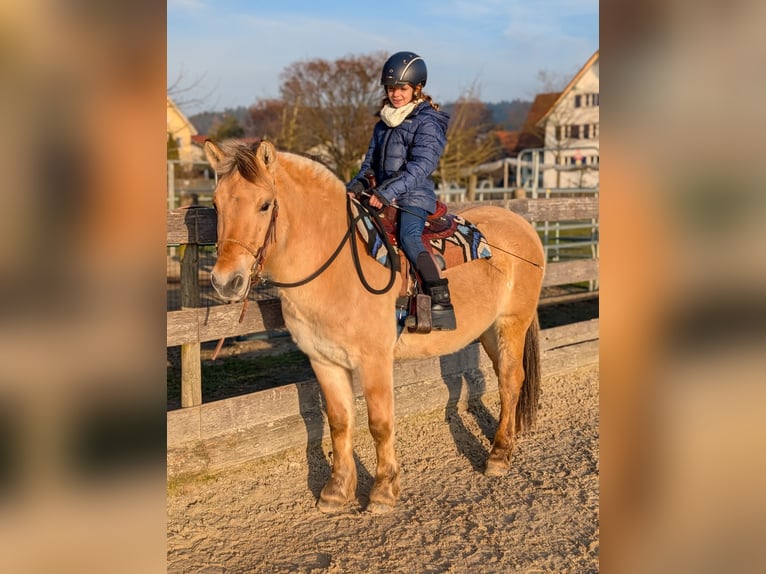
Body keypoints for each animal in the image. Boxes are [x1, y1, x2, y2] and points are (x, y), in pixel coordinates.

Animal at [204, 139, 546, 514]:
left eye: (265, 205)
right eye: (216, 203)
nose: (226, 282)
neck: (336, 266)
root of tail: (523, 225)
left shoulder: (374, 361)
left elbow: (380, 424)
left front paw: (383, 490)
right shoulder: (323, 361)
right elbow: (339, 423)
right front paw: (337, 490)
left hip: (511, 324)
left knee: (511, 380)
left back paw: (498, 456)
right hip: (488, 331)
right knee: (502, 379)